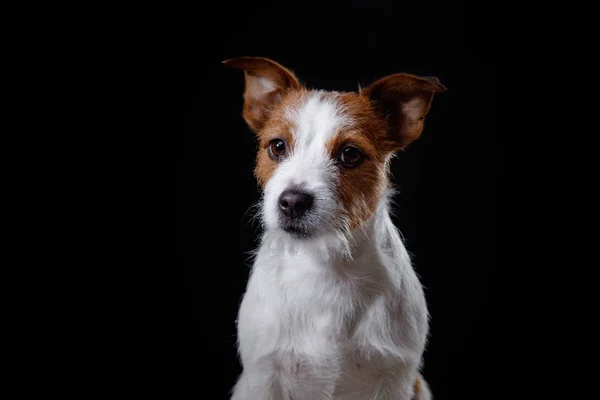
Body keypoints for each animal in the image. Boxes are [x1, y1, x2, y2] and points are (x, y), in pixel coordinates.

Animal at [225, 57, 446, 400]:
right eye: (277, 146)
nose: (292, 202)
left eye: (350, 154)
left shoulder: (394, 378)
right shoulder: (264, 377)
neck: (324, 266)